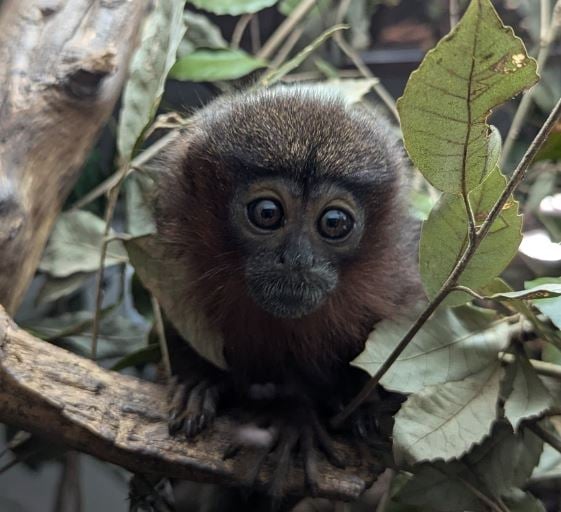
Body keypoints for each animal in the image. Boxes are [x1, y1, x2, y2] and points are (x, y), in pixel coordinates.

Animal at [155, 86, 418, 498]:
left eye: (334, 222)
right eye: (267, 213)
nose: (296, 260)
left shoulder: (397, 288)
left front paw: (336, 408)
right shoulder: (175, 275)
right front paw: (205, 382)